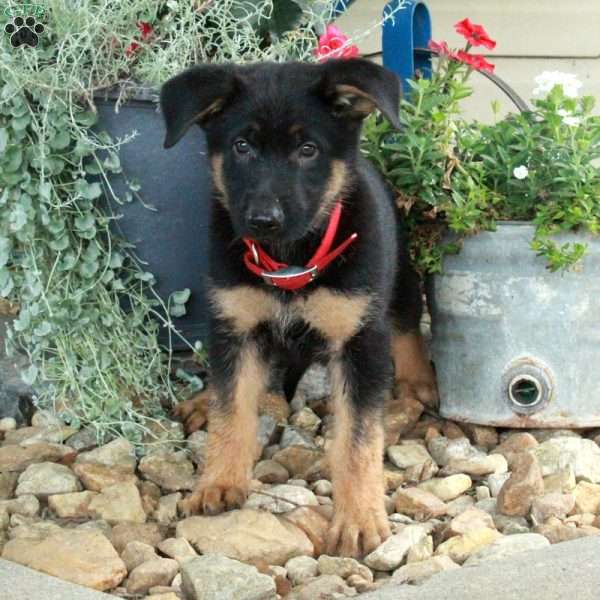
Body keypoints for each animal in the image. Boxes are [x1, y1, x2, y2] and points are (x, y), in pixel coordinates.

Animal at [162, 58, 438, 556]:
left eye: (308, 150)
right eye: (242, 146)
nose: (262, 220)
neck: (290, 258)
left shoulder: (358, 339)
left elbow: (357, 440)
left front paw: (358, 519)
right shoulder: (235, 326)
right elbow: (231, 411)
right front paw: (218, 482)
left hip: (399, 274)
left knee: (406, 320)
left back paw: (416, 380)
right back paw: (204, 399)